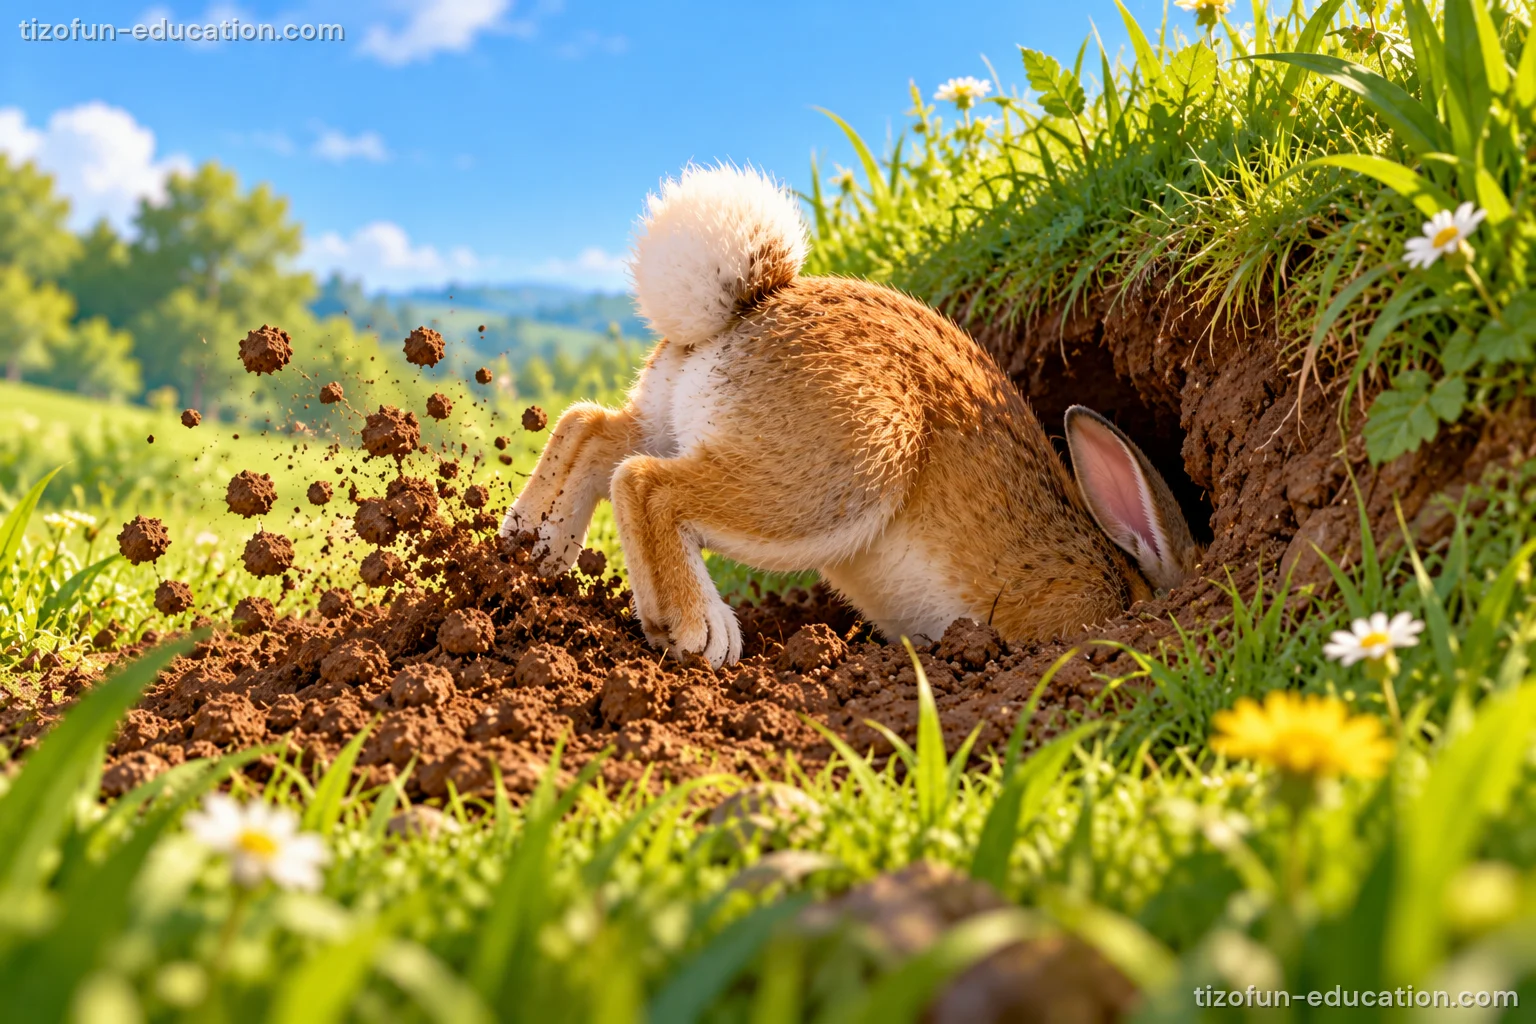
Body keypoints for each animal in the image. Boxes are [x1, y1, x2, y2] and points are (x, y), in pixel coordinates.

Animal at [502, 164, 1204, 667]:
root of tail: (750, 306)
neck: (1127, 581)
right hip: (847, 472)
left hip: (674, 419)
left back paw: (534, 546)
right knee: (646, 484)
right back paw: (701, 630)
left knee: (591, 431)